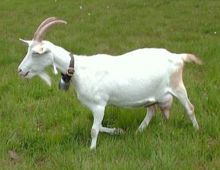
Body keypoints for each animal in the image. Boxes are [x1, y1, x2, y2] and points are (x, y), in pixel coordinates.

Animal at [18, 17, 203, 149]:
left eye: (35, 53)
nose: (20, 70)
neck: (79, 69)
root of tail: (178, 57)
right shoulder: (95, 107)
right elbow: (99, 127)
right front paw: (118, 131)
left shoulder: (100, 105)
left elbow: (94, 129)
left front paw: (92, 150)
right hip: (152, 96)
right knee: (152, 111)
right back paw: (139, 131)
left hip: (178, 87)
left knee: (190, 107)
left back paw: (197, 130)